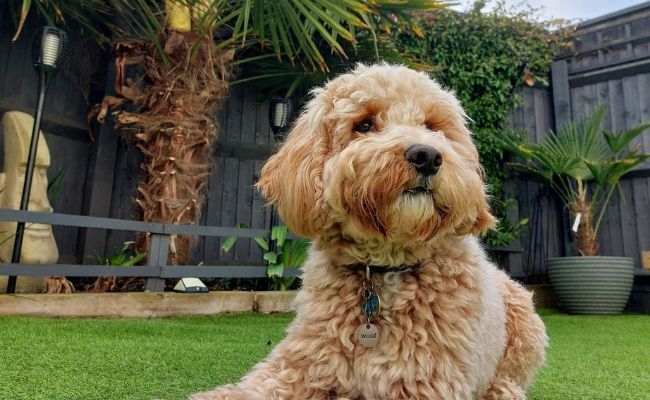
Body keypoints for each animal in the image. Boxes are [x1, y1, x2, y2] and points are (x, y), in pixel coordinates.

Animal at [192, 64, 548, 398]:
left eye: (432, 126)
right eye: (364, 124)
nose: (427, 155)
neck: (382, 270)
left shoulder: (424, 382)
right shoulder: (299, 364)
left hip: (525, 327)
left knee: (511, 379)